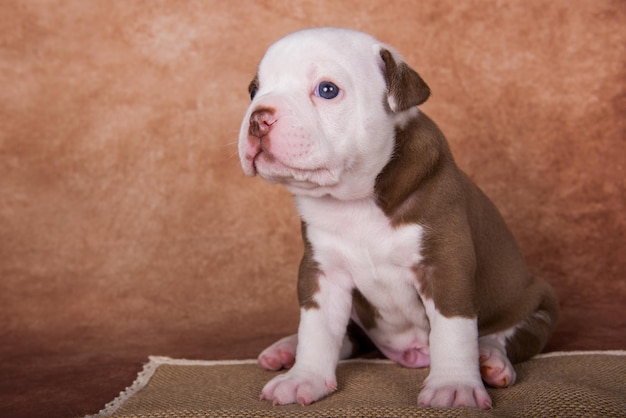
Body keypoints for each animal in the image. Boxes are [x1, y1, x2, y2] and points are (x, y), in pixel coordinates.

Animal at [238, 27, 556, 410]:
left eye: (327, 90)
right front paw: (304, 378)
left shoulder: (445, 265)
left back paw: (491, 359)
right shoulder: (322, 272)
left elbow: (454, 330)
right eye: (254, 90)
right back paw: (286, 350)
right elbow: (318, 329)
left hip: (538, 305)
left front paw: (454, 386)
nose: (258, 118)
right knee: (349, 336)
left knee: (507, 335)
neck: (354, 200)